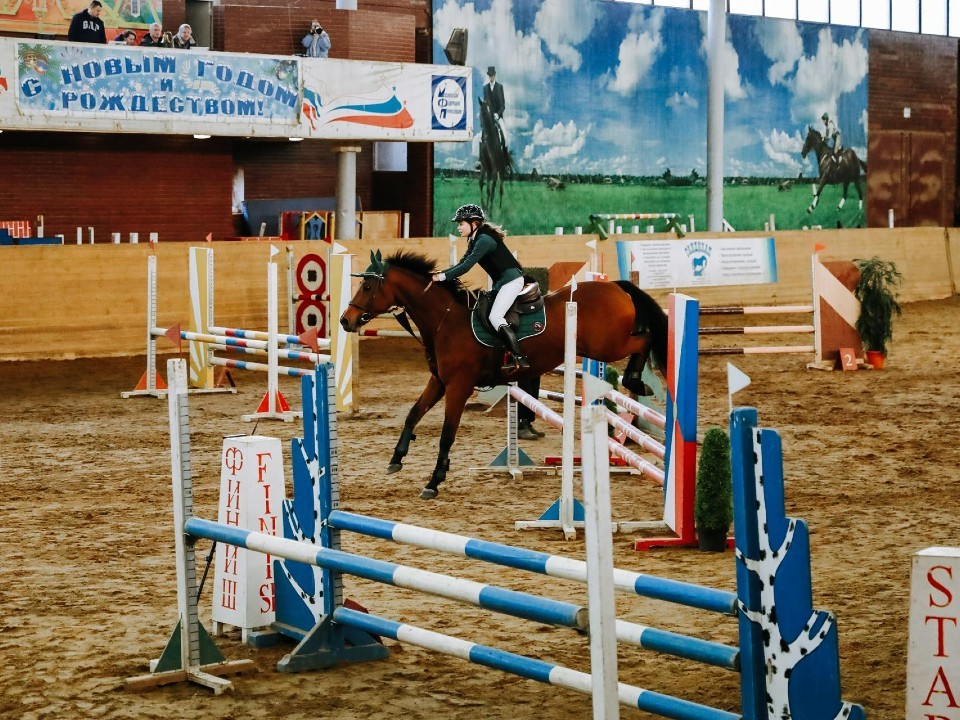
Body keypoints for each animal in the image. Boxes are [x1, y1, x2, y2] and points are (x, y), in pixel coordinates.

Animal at [340, 250, 668, 498]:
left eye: (367, 287)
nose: (345, 320)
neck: (446, 321)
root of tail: (616, 286)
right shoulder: (440, 382)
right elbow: (412, 414)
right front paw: (396, 458)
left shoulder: (459, 386)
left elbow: (447, 434)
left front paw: (434, 481)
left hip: (610, 345)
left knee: (646, 339)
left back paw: (636, 381)